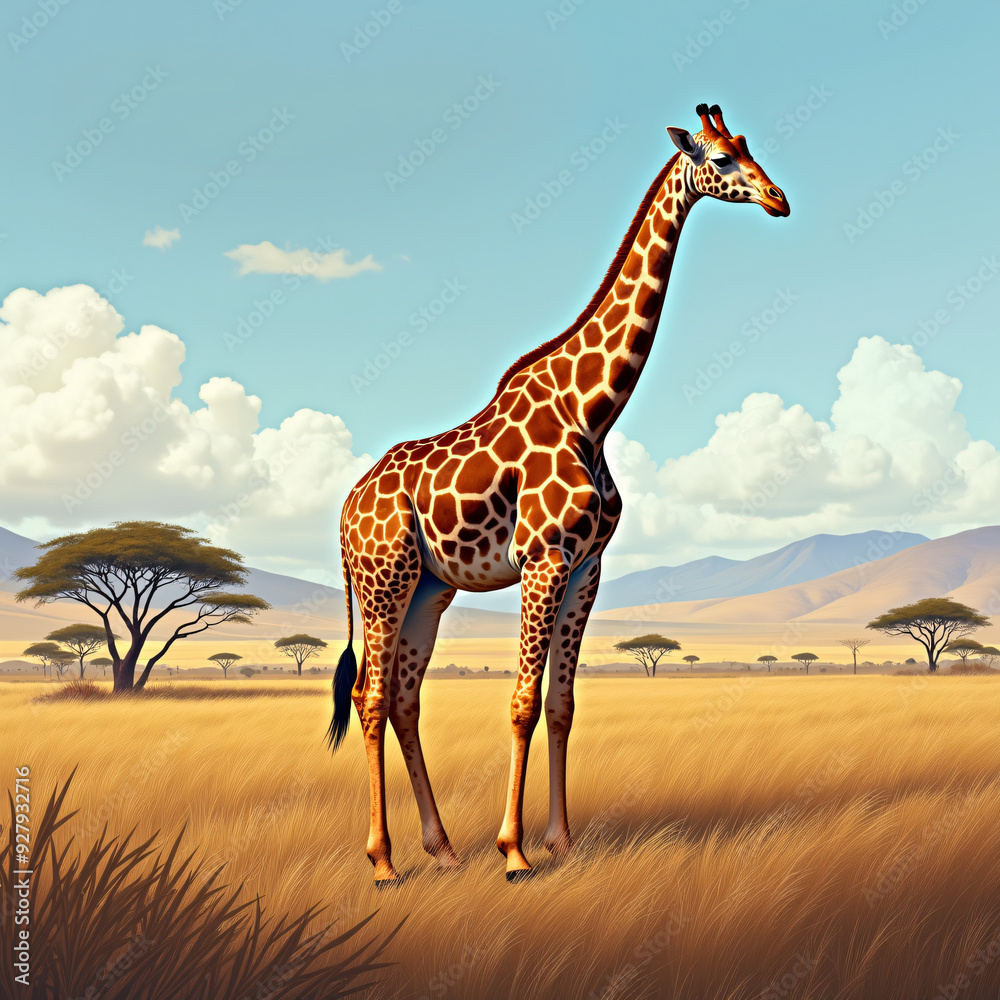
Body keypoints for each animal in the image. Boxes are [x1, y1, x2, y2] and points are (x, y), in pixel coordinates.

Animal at [329, 104, 789, 884]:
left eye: (748, 147)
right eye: (721, 159)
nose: (778, 199)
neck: (592, 410)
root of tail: (344, 511)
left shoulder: (586, 567)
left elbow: (563, 703)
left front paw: (562, 842)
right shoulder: (542, 560)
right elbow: (520, 703)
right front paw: (514, 852)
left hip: (429, 588)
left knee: (406, 698)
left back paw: (442, 847)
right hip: (385, 577)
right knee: (371, 695)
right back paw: (384, 861)